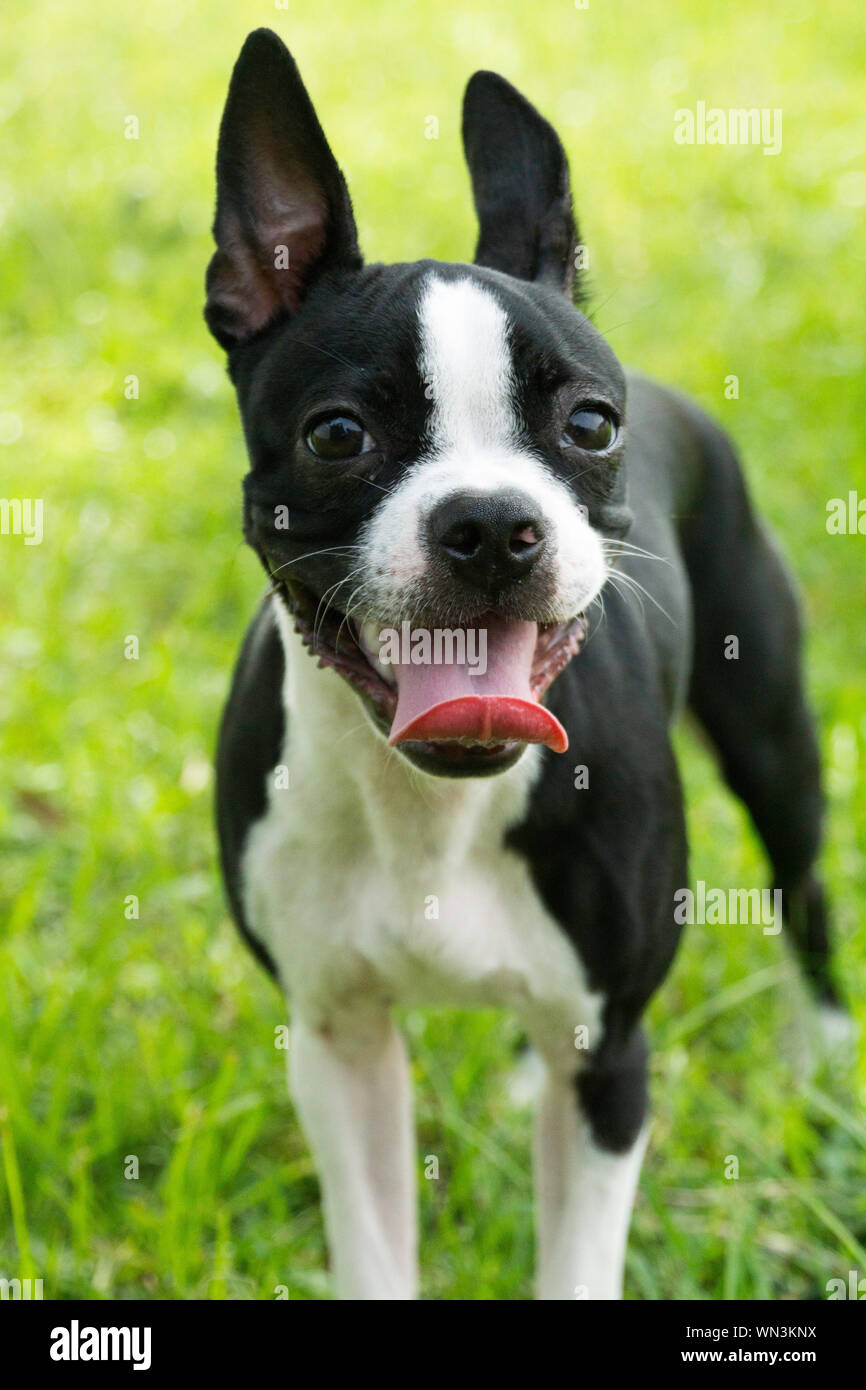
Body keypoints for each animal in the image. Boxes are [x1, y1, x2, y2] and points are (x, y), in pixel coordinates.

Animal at [204, 27, 845, 1295]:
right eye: (336, 434)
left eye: (588, 425)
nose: (492, 522)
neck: (428, 809)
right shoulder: (337, 1040)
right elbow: (374, 1255)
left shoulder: (612, 1063)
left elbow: (576, 1262)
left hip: (771, 740)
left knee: (801, 886)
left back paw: (819, 1054)